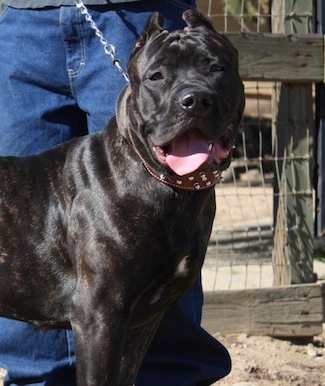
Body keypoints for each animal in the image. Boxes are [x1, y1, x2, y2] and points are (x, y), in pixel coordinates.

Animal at [0, 9, 243, 386]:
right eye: (157, 76)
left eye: (216, 68)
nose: (195, 100)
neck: (169, 189)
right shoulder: (98, 315)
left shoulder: (141, 322)